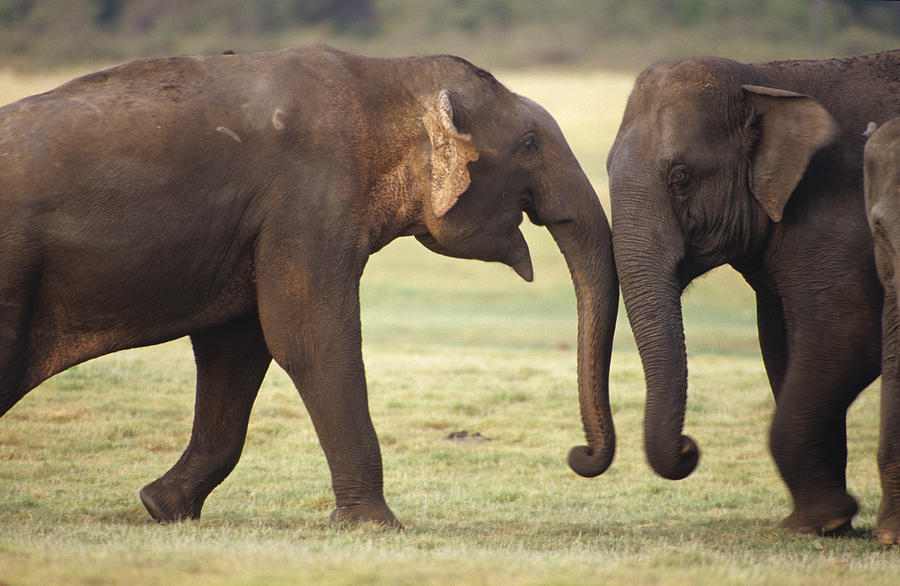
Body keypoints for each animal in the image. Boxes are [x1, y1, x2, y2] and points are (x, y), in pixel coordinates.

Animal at [0, 43, 620, 528]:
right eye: (531, 145)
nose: (579, 455)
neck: (387, 79)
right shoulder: (309, 201)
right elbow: (309, 337)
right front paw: (376, 527)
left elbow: (238, 346)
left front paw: (162, 507)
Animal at [596, 50, 900, 540]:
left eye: (681, 177)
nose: (688, 448)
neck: (765, 78)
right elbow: (782, 344)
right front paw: (822, 523)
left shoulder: (838, 217)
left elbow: (847, 335)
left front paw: (818, 523)